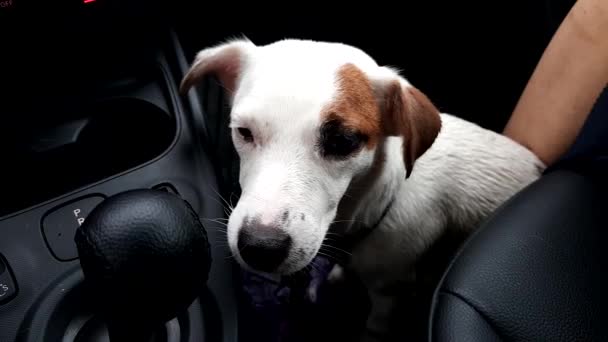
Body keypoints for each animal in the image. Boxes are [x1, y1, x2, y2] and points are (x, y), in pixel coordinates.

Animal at [178, 38, 544, 340]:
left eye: (343, 141)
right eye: (243, 131)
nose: (260, 247)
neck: (379, 205)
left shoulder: (389, 293)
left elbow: (375, 326)